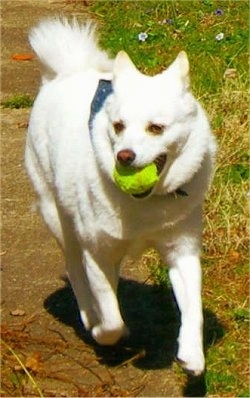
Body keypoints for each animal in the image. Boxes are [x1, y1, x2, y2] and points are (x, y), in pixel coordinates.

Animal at [25, 17, 217, 376]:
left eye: (156, 128)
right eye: (118, 126)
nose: (124, 156)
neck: (145, 204)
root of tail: (67, 72)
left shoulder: (182, 249)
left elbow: (193, 307)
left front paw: (192, 354)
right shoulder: (95, 251)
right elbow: (110, 316)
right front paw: (104, 331)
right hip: (59, 218)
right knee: (76, 270)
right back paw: (90, 314)